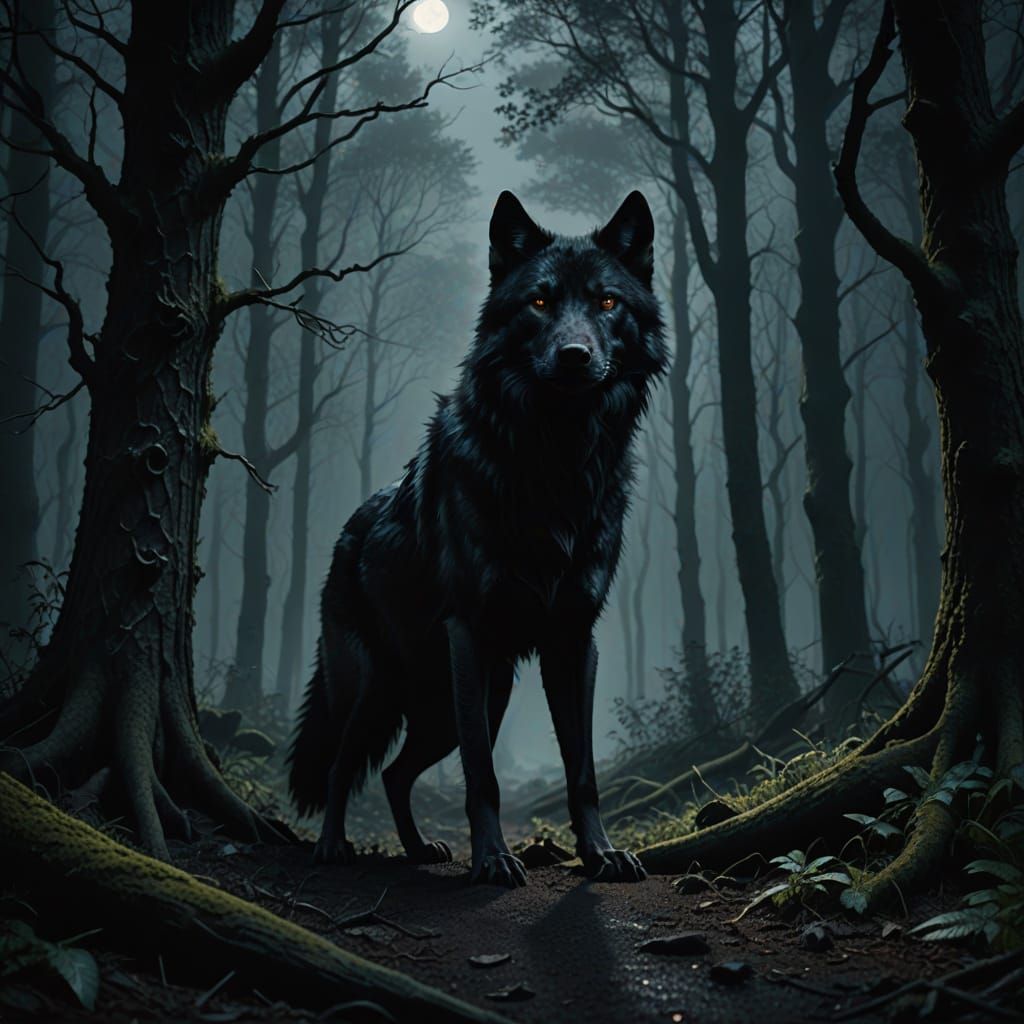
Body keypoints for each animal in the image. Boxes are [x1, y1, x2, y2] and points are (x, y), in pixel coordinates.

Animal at [288, 190, 667, 886]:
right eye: (539, 302)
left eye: (607, 303)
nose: (575, 355)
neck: (557, 460)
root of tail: (346, 533)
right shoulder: (470, 633)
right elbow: (482, 777)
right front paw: (492, 859)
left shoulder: (575, 641)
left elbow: (582, 772)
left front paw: (600, 853)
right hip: (381, 692)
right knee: (341, 765)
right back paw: (332, 848)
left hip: (466, 703)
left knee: (394, 773)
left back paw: (418, 850)